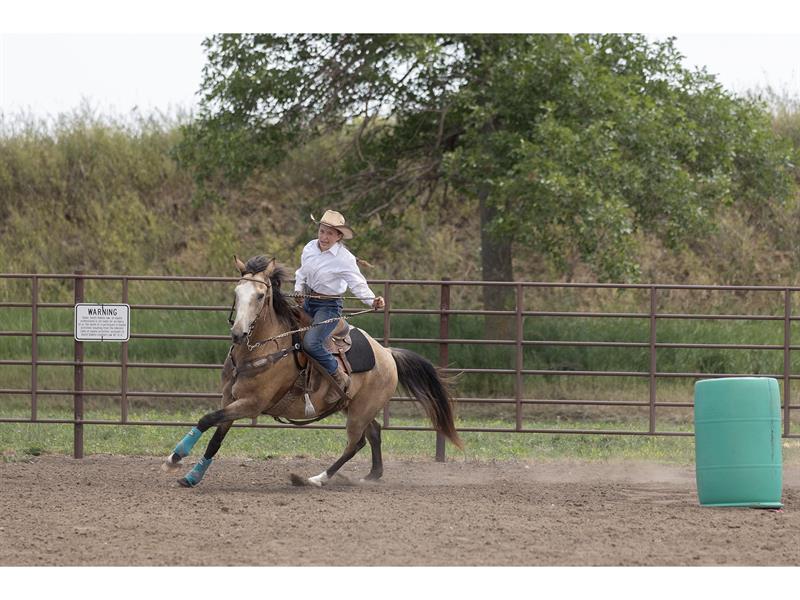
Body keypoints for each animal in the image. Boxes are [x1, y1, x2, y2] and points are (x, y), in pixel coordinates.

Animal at [162, 254, 462, 488]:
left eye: (260, 295)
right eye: (237, 293)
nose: (238, 334)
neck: (261, 350)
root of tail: (387, 353)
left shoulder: (251, 404)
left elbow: (206, 419)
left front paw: (174, 458)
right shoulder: (230, 399)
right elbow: (215, 437)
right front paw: (192, 476)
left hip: (360, 410)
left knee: (355, 444)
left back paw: (314, 479)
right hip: (355, 406)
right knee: (374, 433)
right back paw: (371, 475)